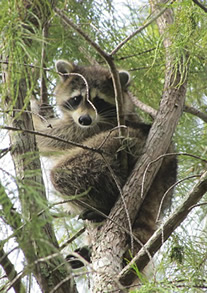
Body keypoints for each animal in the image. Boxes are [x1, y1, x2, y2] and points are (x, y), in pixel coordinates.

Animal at [32, 58, 176, 262]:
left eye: (98, 101)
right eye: (76, 99)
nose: (85, 119)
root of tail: (168, 161)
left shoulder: (93, 128)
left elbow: (45, 137)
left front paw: (31, 110)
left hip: (118, 141)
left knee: (63, 173)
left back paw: (105, 204)